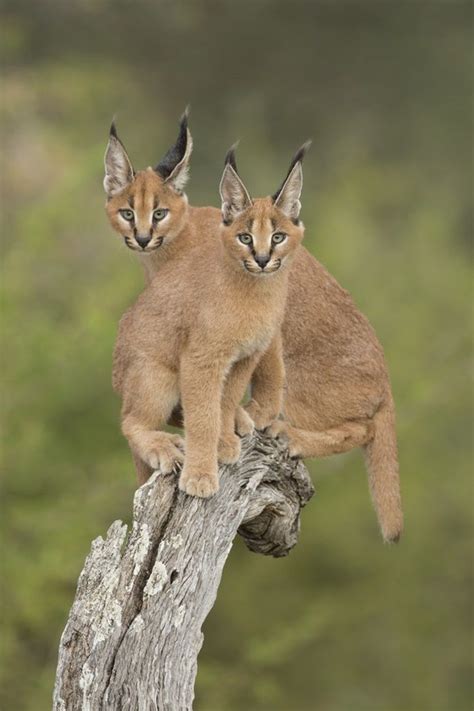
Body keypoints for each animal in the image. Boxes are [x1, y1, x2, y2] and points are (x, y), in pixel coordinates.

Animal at [111, 146, 304, 496]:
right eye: (245, 238)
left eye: (278, 237)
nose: (262, 259)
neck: (257, 291)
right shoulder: (201, 359)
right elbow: (203, 416)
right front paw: (199, 476)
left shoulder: (243, 358)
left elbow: (223, 402)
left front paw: (224, 442)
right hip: (155, 375)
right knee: (130, 420)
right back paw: (163, 447)